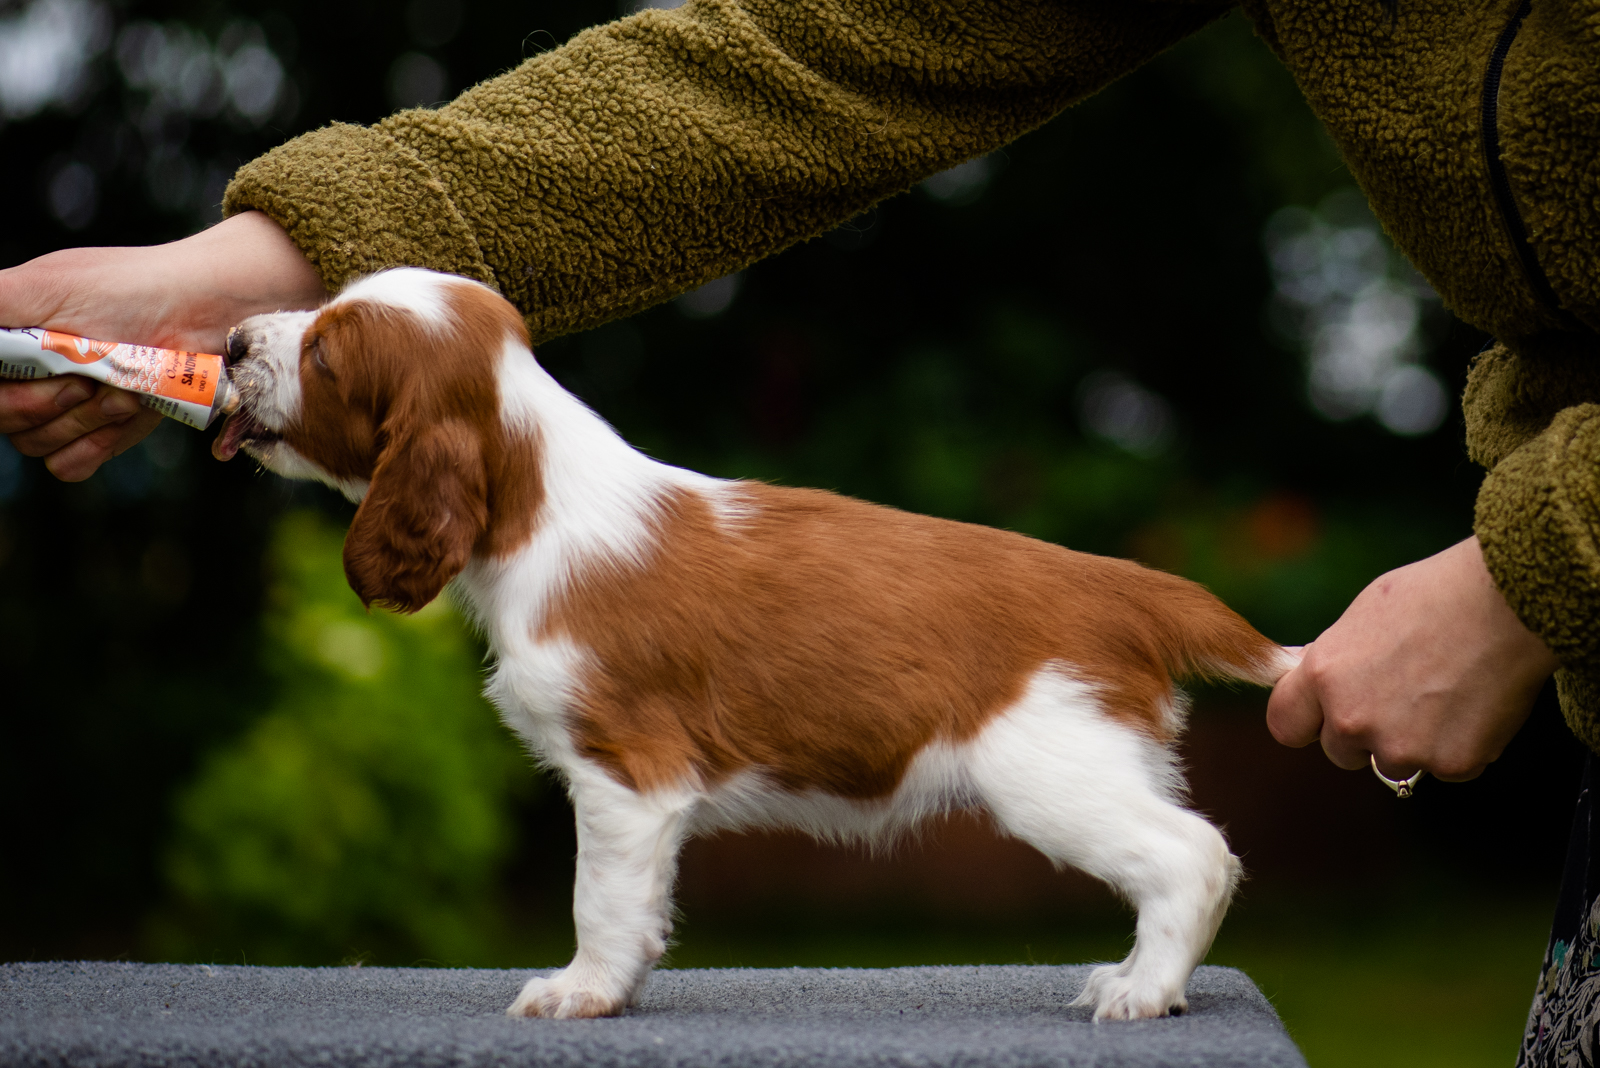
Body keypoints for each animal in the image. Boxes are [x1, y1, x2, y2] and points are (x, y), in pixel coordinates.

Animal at [216, 265, 1299, 1016]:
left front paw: (580, 991)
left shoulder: (625, 771)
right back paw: (1134, 976)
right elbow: (640, 904)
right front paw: (618, 985)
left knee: (1194, 856)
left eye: (325, 355)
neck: (542, 497)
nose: (227, 341)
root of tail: (1127, 586)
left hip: (1050, 771)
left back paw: (1143, 992)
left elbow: (599, 897)